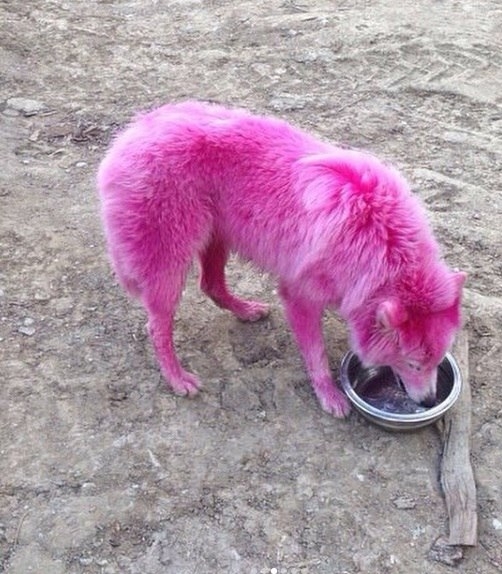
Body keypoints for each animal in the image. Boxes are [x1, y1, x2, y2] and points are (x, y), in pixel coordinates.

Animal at [96, 101, 464, 418]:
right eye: (414, 364)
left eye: (436, 361)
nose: (428, 401)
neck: (382, 240)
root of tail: (133, 132)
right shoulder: (299, 295)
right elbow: (316, 356)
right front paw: (329, 396)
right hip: (170, 263)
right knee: (157, 326)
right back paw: (176, 377)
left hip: (218, 235)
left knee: (211, 285)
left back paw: (245, 310)